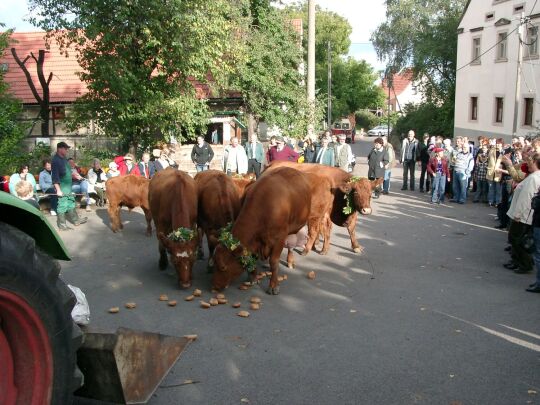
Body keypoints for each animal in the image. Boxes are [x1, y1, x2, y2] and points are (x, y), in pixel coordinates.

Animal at [212, 166, 312, 296]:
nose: (215, 286)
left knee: (290, 246)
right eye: (214, 262)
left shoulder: (279, 238)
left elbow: (274, 261)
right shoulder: (254, 241)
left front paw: (273, 286)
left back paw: (290, 261)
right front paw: (253, 277)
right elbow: (253, 257)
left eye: (223, 267)